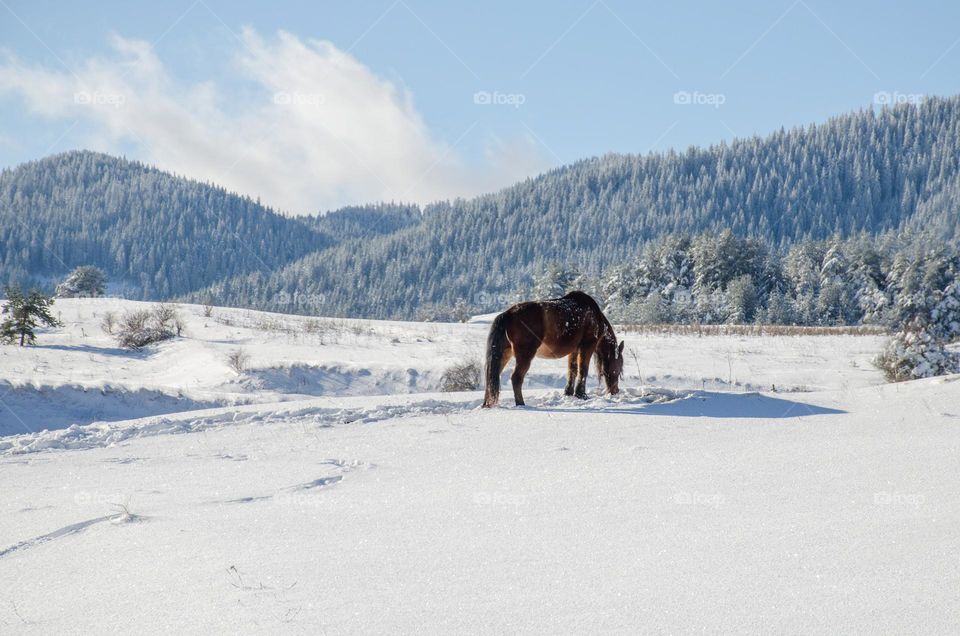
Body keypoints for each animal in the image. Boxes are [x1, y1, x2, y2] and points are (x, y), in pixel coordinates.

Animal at [484, 292, 628, 410]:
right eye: (619, 367)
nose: (615, 391)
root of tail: (507, 314)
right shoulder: (587, 346)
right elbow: (583, 370)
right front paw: (581, 394)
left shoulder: (573, 350)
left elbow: (572, 370)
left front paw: (569, 393)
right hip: (525, 354)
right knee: (516, 378)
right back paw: (521, 404)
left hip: (505, 353)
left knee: (492, 376)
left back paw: (487, 404)